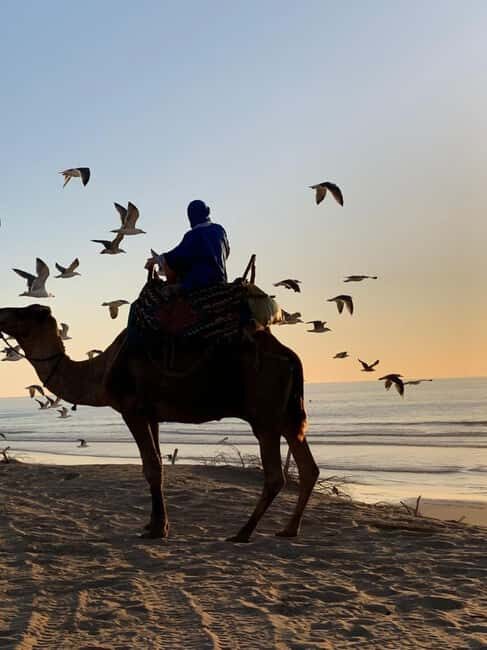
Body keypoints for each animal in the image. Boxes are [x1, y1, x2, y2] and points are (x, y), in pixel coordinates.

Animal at [0, 303, 319, 542]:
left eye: (25, 312)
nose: (1, 311)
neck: (101, 371)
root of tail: (290, 356)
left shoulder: (132, 411)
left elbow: (152, 467)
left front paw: (156, 530)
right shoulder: (151, 415)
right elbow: (157, 467)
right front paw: (154, 524)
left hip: (265, 414)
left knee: (275, 475)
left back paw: (243, 532)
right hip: (288, 415)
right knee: (308, 467)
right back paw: (288, 529)